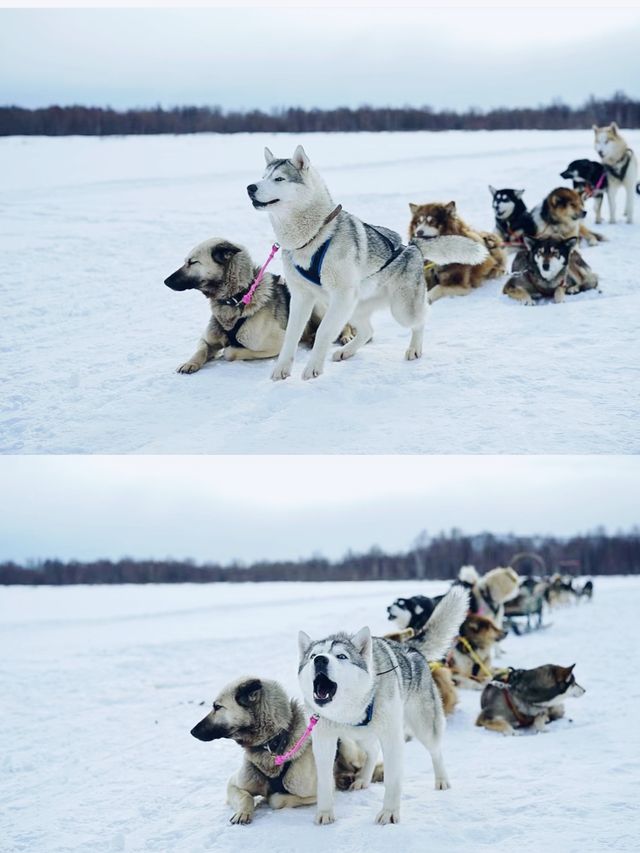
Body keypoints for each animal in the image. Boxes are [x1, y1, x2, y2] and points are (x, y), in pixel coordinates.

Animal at [189, 676, 380, 824]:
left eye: (217, 707)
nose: (192, 731)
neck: (272, 743)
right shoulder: (233, 784)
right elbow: (246, 797)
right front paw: (243, 812)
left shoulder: (316, 792)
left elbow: (276, 799)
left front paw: (265, 800)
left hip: (346, 748)